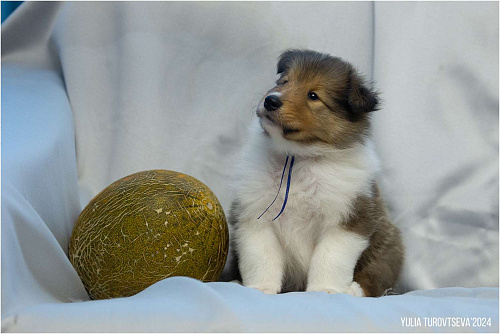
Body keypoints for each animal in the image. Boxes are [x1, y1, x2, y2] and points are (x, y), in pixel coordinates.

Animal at [225, 48, 404, 296]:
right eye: (285, 81)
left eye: (313, 96)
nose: (270, 100)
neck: (298, 158)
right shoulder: (255, 215)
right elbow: (261, 257)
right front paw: (261, 288)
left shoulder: (347, 219)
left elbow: (330, 258)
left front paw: (325, 290)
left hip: (388, 247)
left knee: (375, 279)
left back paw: (353, 290)